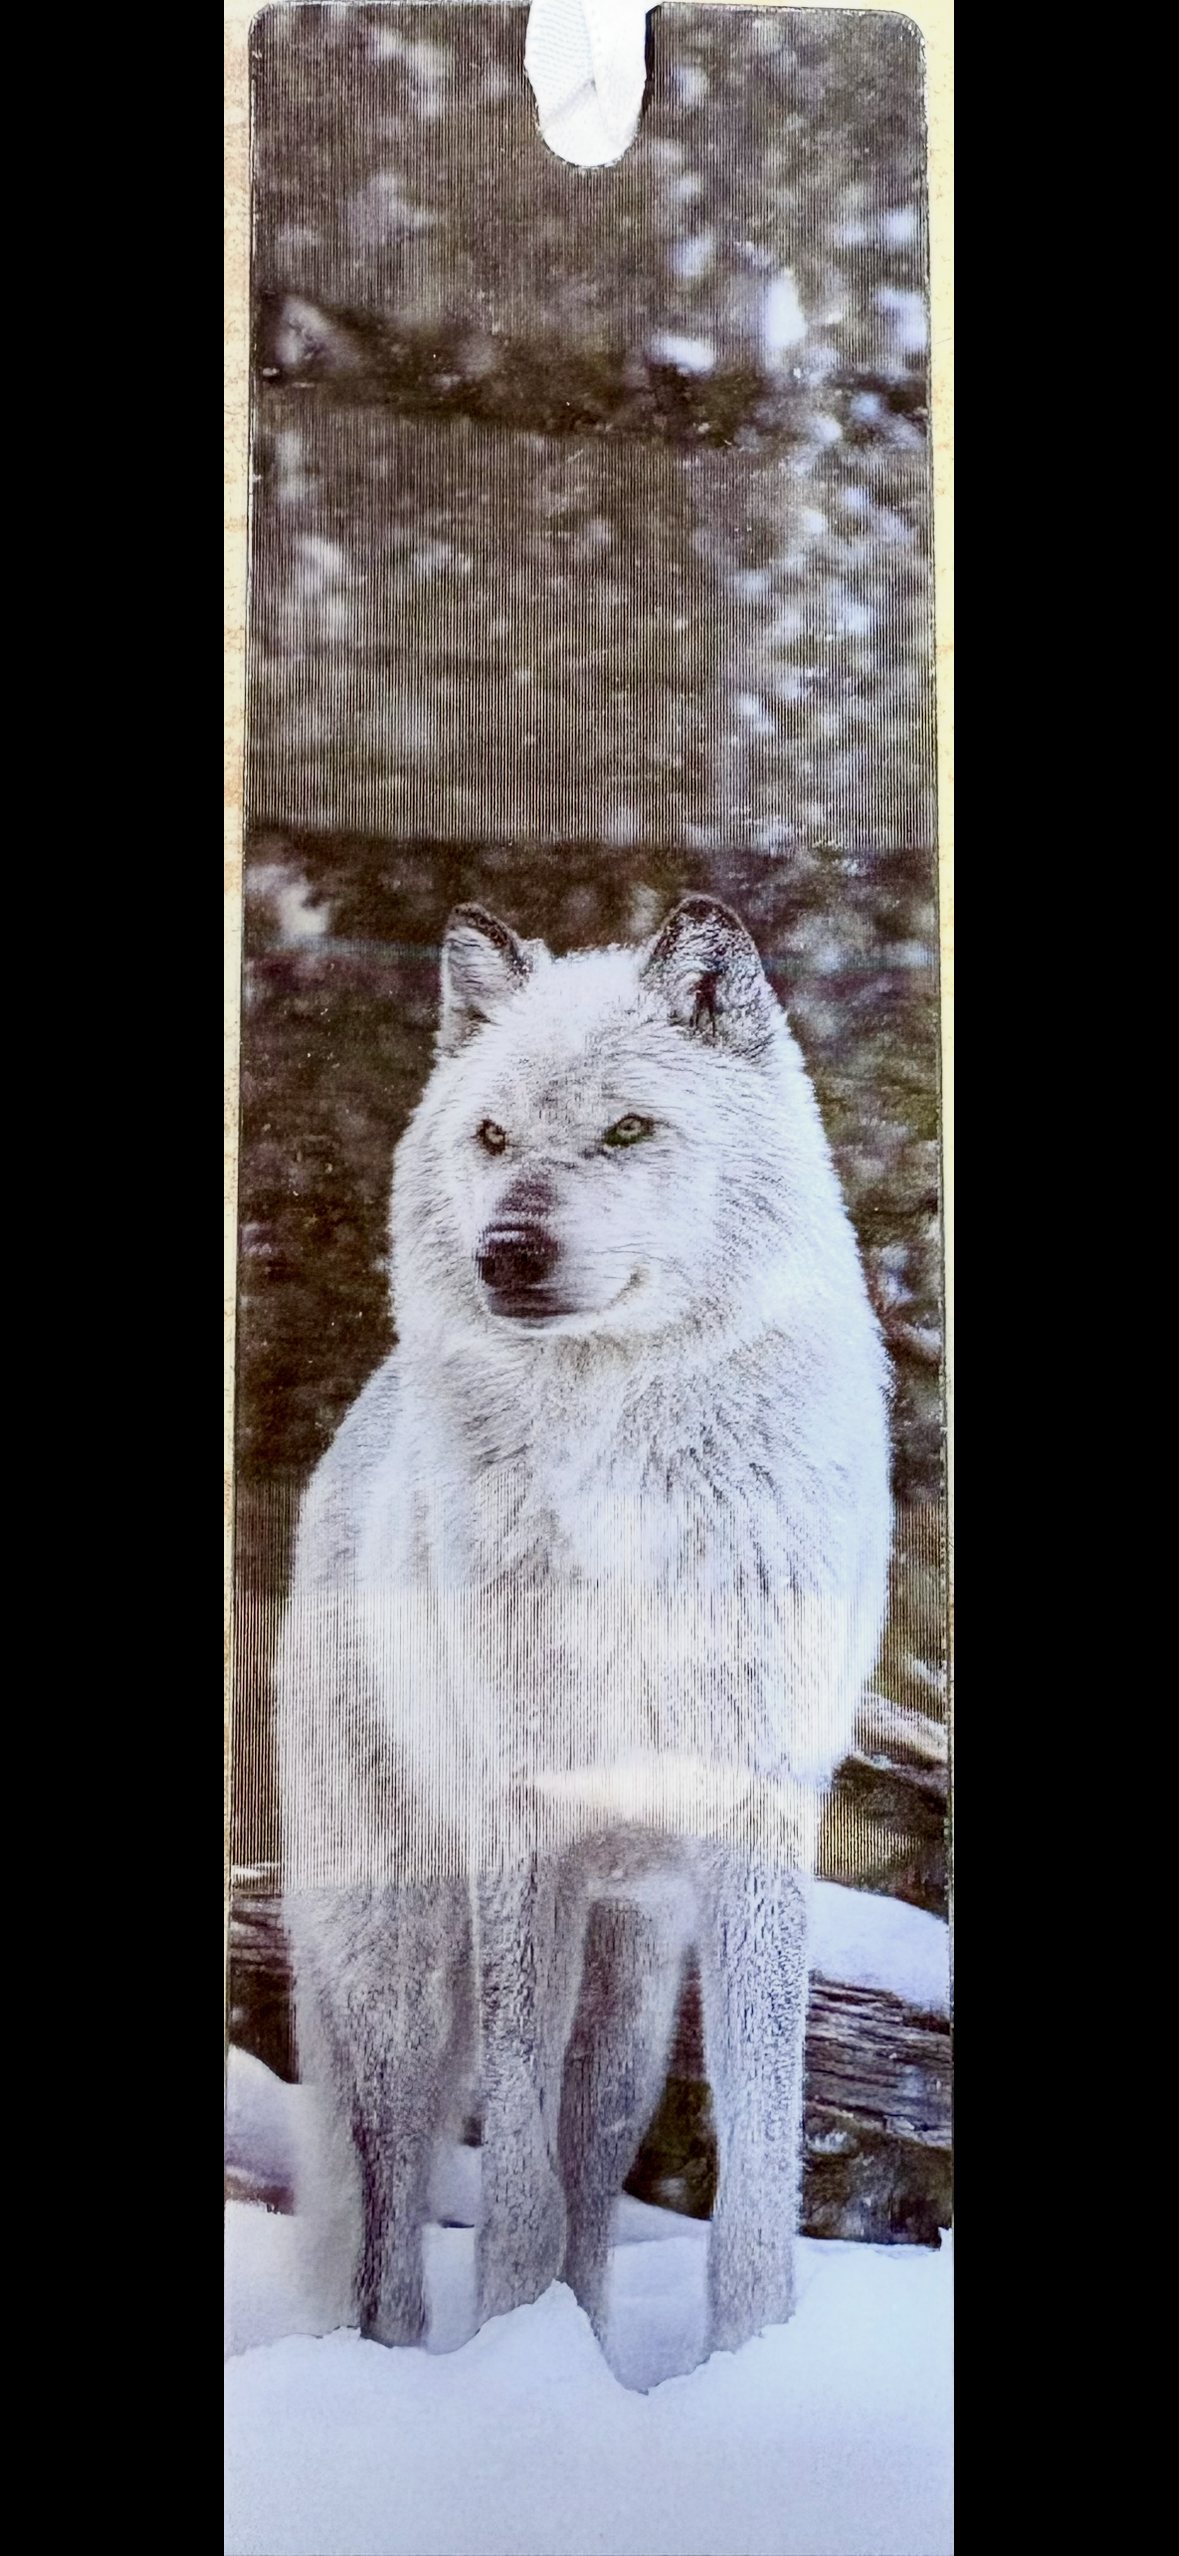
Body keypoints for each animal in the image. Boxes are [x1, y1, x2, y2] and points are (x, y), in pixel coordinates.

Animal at [275, 894, 891, 2368]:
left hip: (633, 1966)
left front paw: (747, 2369)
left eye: (625, 1131)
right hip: (397, 1964)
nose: (507, 1250)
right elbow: (511, 2187)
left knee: (597, 2153)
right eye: (493, 1137)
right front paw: (515, 2363)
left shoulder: (750, 1826)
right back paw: (393, 2365)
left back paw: (600, 2348)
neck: (624, 1495)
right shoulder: (523, 1834)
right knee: (390, 2205)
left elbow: (752, 2171)